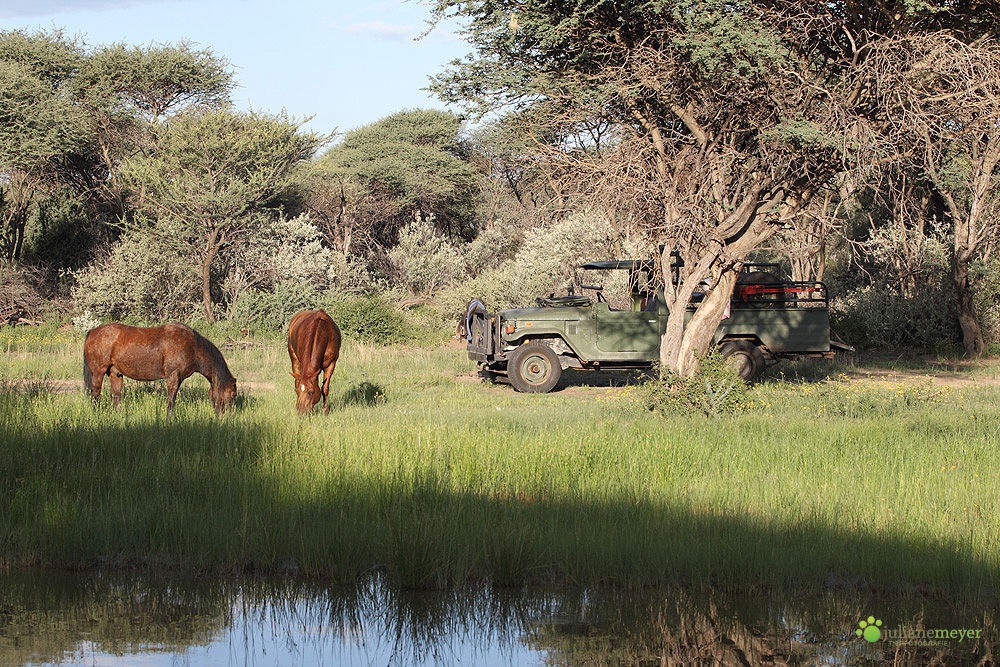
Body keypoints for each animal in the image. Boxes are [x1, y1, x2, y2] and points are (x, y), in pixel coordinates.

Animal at [83, 320, 237, 414]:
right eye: (233, 395)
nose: (227, 417)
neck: (192, 347)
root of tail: (92, 332)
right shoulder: (174, 377)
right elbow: (171, 400)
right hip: (98, 372)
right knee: (95, 395)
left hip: (115, 374)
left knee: (115, 397)